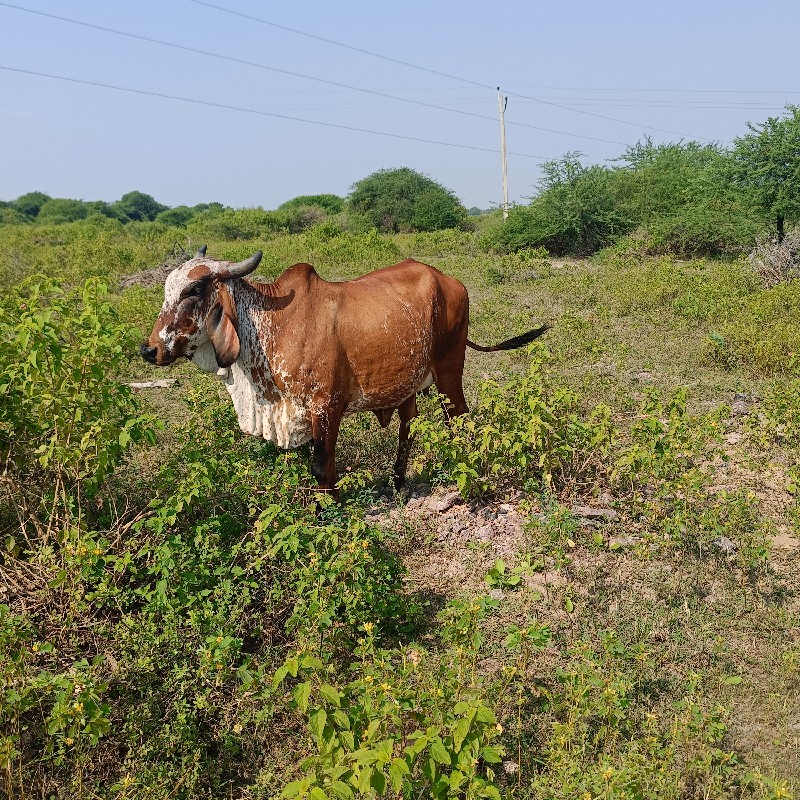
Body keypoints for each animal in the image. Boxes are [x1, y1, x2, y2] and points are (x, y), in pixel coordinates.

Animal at [139, 247, 552, 496]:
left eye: (194, 290)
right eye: (168, 289)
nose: (149, 349)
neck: (272, 325)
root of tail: (450, 281)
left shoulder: (327, 405)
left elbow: (323, 466)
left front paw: (331, 512)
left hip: (449, 374)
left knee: (460, 420)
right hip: (408, 384)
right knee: (409, 424)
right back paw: (397, 481)